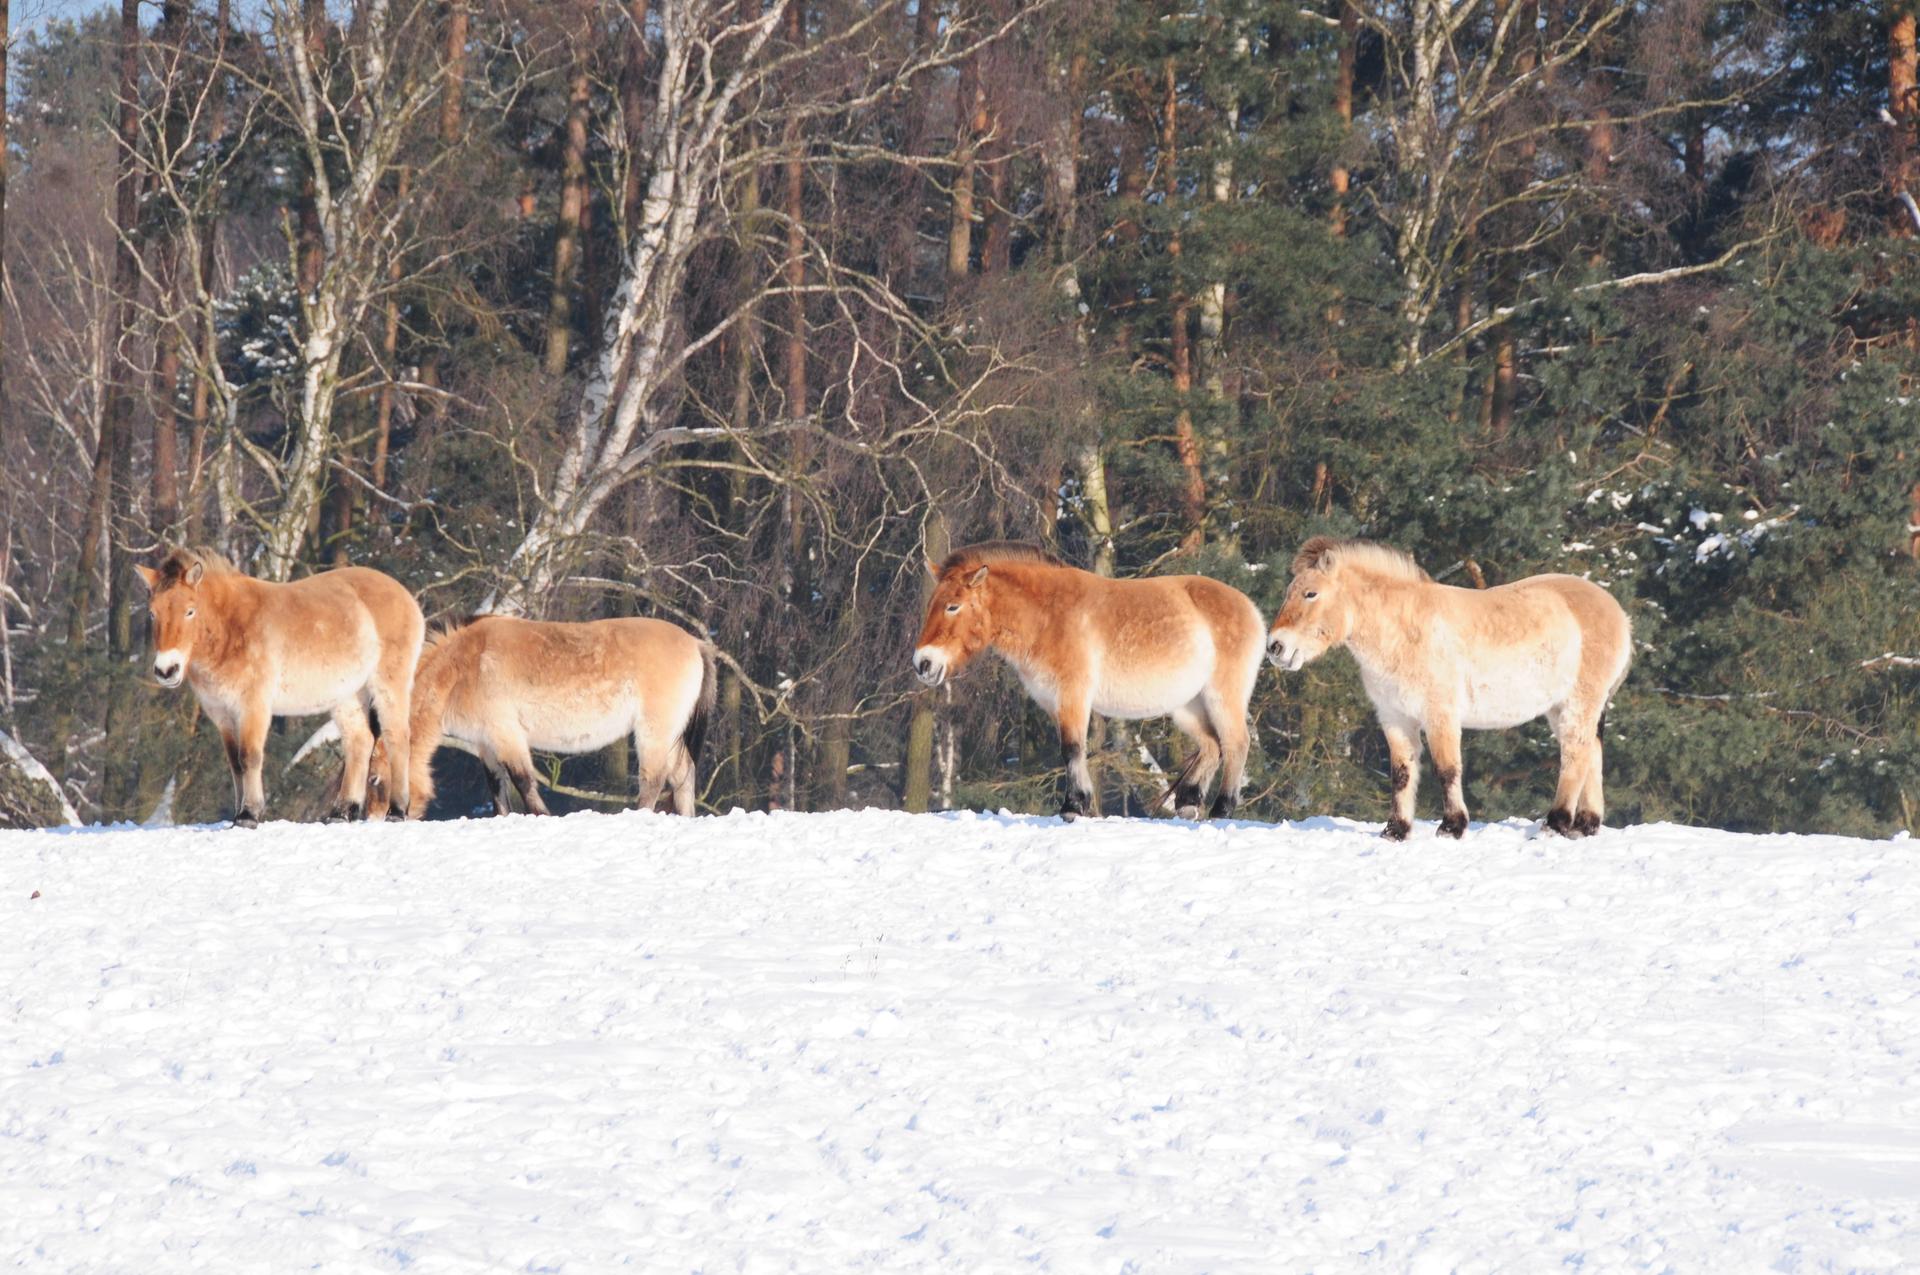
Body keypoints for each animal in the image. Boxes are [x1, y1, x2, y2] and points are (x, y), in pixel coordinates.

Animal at [139, 545, 428, 825]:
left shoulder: (252, 707)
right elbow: (235, 763)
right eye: (152, 613)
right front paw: (237, 813)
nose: (166, 670)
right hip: (348, 696)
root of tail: (404, 594)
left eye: (190, 611)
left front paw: (249, 815)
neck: (232, 628)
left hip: (389, 686)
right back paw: (342, 812)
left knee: (397, 739)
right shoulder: (221, 714)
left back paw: (397, 810)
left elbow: (250, 757)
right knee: (360, 742)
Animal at [382, 614, 721, 817]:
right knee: (683, 773)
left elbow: (523, 780)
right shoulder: (486, 743)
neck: (464, 666)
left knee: (653, 780)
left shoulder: (507, 734)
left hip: (654, 732)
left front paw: (542, 815)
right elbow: (497, 786)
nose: (384, 817)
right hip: (670, 734)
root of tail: (696, 643)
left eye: (377, 780)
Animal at [910, 541, 1267, 821]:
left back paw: (1221, 809)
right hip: (1188, 705)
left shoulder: (1073, 695)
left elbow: (1071, 748)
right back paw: (1188, 803)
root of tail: (1250, 608)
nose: (923, 663)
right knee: (1211, 745)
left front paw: (1073, 806)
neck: (1047, 616)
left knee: (1235, 743)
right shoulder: (1052, 702)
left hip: (1222, 696)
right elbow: (1072, 750)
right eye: (930, 605)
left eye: (953, 606)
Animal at [1259, 533, 1635, 837]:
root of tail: (1618, 613)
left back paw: (1555, 824)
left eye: (1311, 593)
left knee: (1574, 755)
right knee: (1591, 755)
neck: (1404, 630)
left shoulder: (1439, 714)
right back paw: (1585, 825)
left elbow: (1447, 769)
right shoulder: (1395, 718)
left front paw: (1452, 826)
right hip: (1560, 708)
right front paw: (1396, 830)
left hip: (1578, 703)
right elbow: (1402, 773)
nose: (1275, 646)